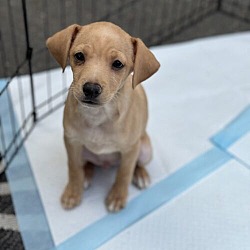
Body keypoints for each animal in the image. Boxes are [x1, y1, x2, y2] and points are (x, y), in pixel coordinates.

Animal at [46, 22, 160, 213]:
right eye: (79, 56)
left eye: (118, 64)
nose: (91, 89)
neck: (98, 115)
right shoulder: (72, 142)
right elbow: (74, 169)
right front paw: (73, 192)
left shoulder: (130, 149)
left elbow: (124, 173)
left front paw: (117, 197)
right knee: (86, 164)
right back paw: (86, 175)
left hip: (144, 149)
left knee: (137, 163)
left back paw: (141, 174)